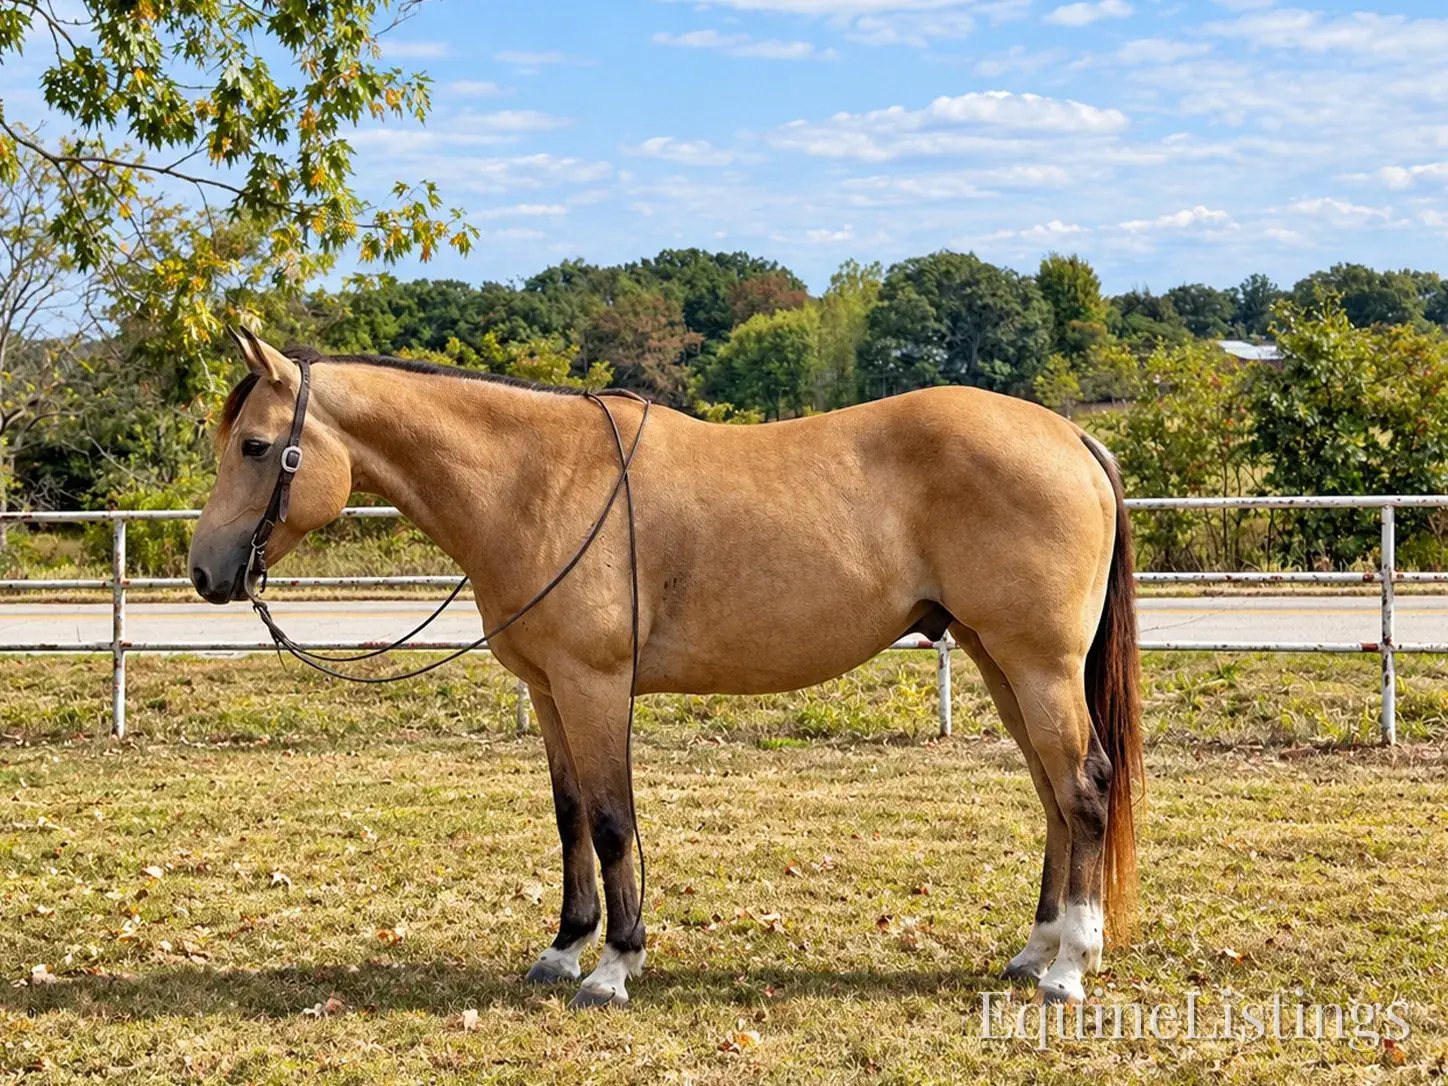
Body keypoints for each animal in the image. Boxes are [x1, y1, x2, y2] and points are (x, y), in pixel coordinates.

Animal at [188, 330, 1143, 1009]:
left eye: (255, 446)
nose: (205, 573)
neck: (539, 481)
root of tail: (1070, 435)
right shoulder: (549, 693)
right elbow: (571, 816)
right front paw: (563, 950)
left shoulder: (595, 686)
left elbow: (613, 822)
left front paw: (614, 967)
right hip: (994, 658)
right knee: (1051, 793)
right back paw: (1035, 952)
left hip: (1038, 664)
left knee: (1084, 787)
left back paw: (1071, 966)